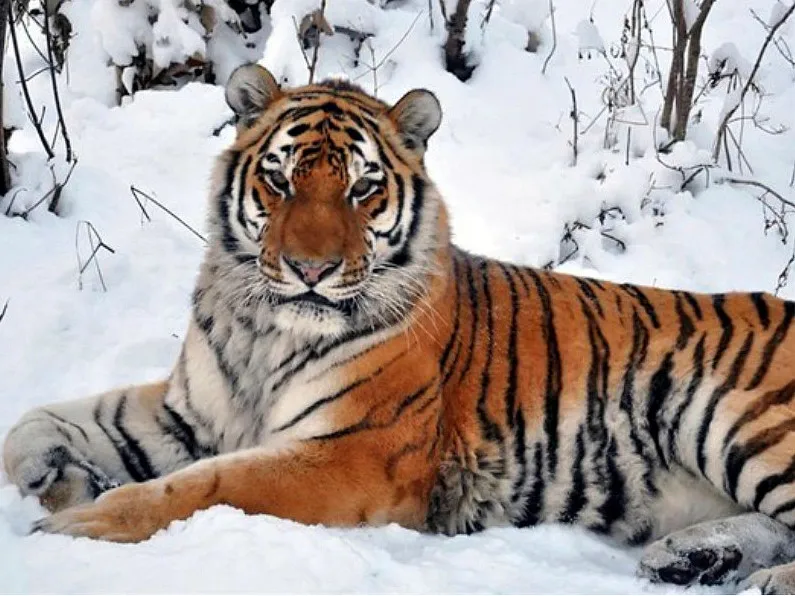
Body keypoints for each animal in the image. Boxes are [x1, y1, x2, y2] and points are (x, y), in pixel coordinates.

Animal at [5, 63, 795, 593]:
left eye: (362, 187)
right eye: (280, 179)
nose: (311, 268)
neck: (265, 332)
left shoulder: (352, 451)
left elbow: (205, 487)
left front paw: (77, 527)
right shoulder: (192, 413)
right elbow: (43, 423)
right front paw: (52, 480)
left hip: (737, 419)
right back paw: (693, 558)